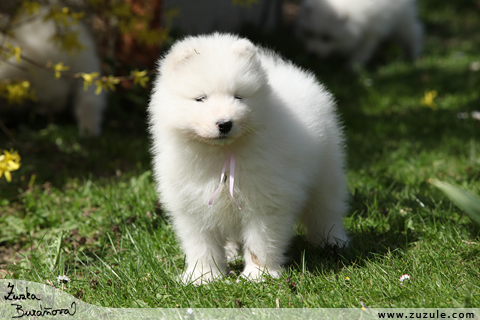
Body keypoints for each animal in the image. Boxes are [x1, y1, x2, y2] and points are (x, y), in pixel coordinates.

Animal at [148, 33, 346, 284]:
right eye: (200, 99)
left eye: (238, 97)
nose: (224, 123)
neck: (222, 153)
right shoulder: (193, 205)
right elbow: (201, 245)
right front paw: (203, 276)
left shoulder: (265, 201)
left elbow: (261, 242)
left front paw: (258, 275)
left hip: (326, 172)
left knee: (326, 210)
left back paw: (333, 242)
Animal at [294, 0, 422, 66]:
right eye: (309, 34)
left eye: (327, 38)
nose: (312, 54)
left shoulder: (372, 31)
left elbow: (363, 49)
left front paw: (352, 66)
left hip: (401, 19)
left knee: (413, 32)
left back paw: (413, 54)